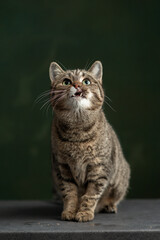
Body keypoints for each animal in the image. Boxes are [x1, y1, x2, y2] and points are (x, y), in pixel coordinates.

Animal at [48, 61, 130, 222]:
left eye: (86, 81)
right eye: (66, 82)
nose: (77, 85)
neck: (77, 130)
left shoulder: (99, 168)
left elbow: (90, 196)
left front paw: (84, 213)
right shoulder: (62, 168)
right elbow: (70, 194)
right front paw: (69, 212)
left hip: (121, 180)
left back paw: (109, 206)